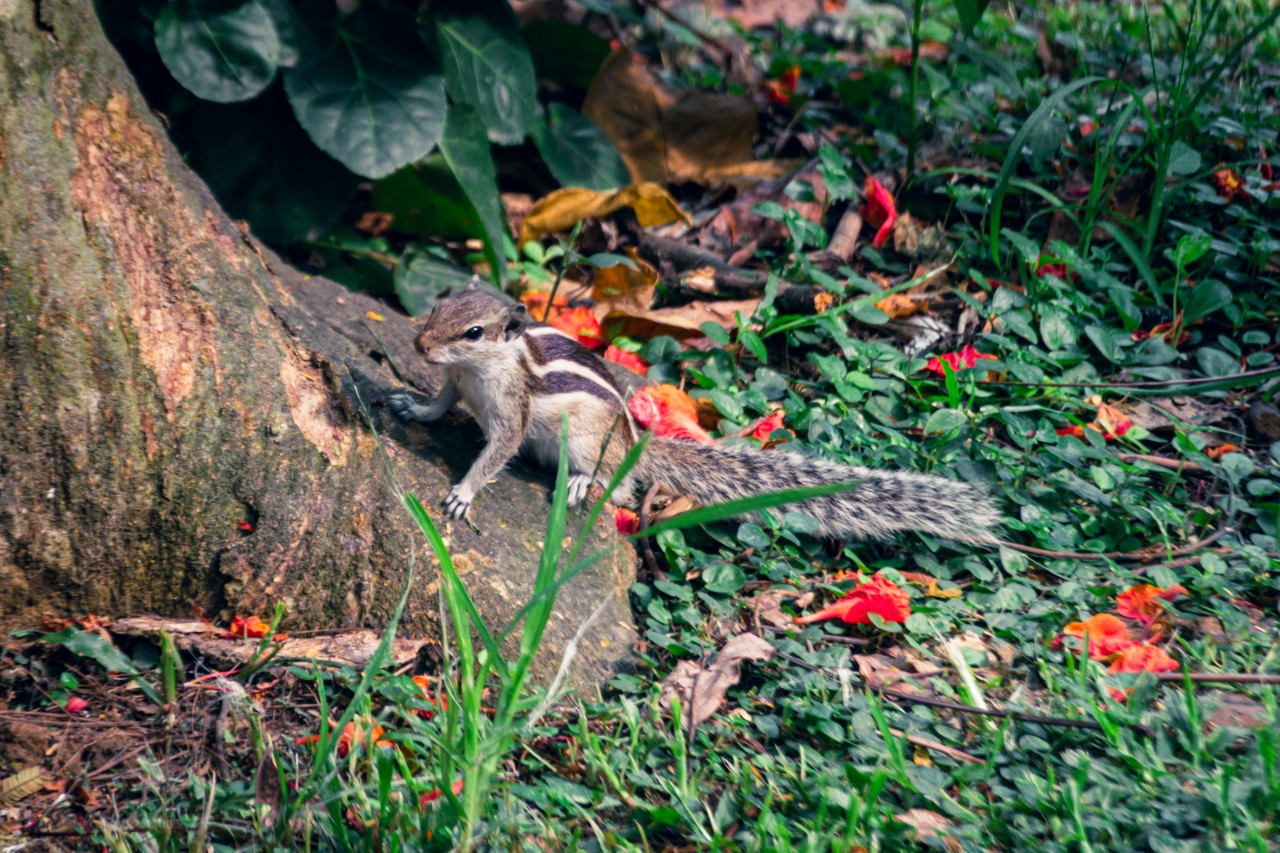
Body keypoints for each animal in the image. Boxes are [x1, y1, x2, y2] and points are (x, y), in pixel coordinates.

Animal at [388, 281, 1000, 542]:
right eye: (437, 307)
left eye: (472, 332)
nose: (417, 344)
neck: (480, 370)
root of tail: (635, 439)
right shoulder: (454, 383)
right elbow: (439, 403)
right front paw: (412, 406)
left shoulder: (511, 415)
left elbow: (498, 453)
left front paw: (464, 492)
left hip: (586, 440)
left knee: (620, 483)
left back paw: (586, 483)